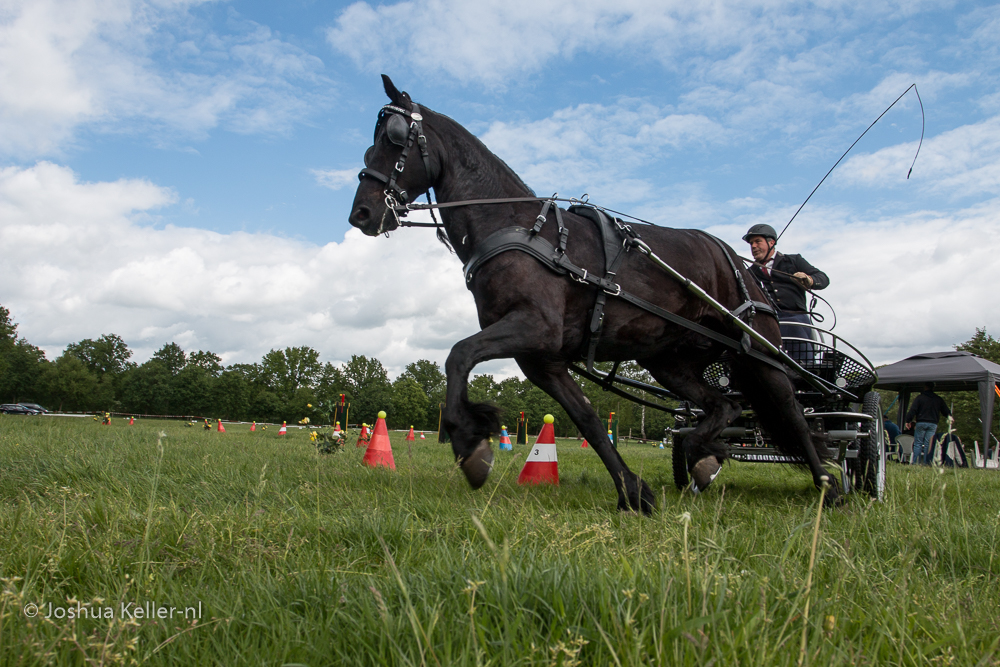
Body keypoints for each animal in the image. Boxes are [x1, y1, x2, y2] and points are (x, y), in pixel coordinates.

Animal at [352, 77, 836, 512]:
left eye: (395, 138)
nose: (362, 213)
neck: (517, 227)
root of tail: (742, 263)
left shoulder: (535, 329)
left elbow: (458, 355)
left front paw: (470, 444)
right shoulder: (540, 358)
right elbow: (587, 420)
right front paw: (634, 492)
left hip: (761, 354)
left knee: (791, 412)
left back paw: (828, 484)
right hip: (671, 362)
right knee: (725, 406)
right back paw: (703, 454)